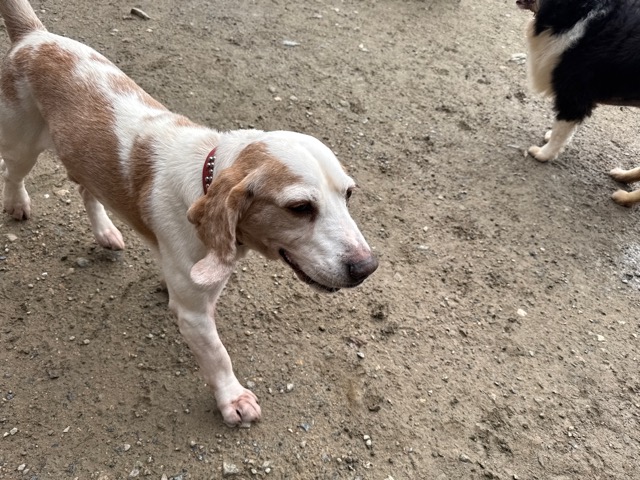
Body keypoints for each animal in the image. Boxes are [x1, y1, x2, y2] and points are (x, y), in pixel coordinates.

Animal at [0, 0, 378, 427]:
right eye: (299, 208)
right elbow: (217, 353)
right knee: (11, 173)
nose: (367, 268)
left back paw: (105, 232)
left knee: (85, 189)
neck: (205, 178)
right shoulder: (193, 312)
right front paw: (232, 398)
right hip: (21, 146)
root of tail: (34, 36)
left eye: (348, 194)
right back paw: (17, 204)